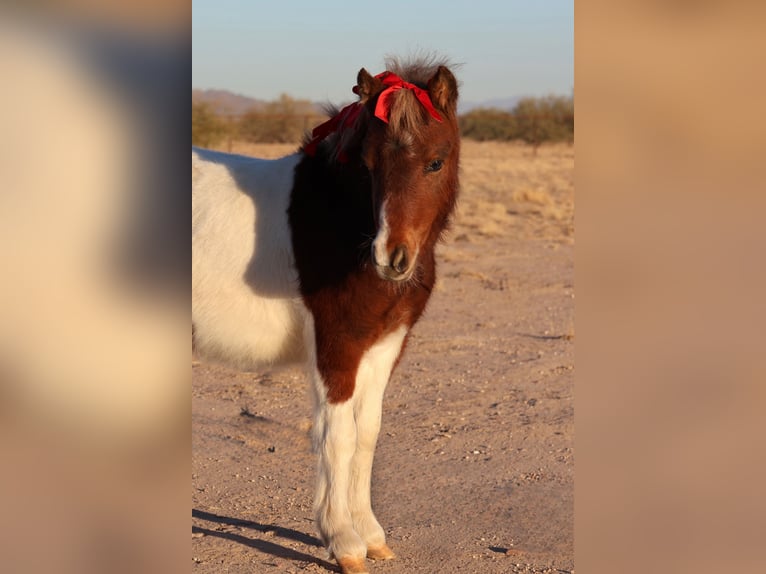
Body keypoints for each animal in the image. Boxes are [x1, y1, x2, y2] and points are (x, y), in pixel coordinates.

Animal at [192, 55, 462, 574]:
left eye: (436, 161)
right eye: (369, 166)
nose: (391, 258)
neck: (341, 220)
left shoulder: (383, 345)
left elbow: (367, 433)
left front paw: (372, 536)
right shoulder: (336, 345)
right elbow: (337, 436)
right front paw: (344, 542)